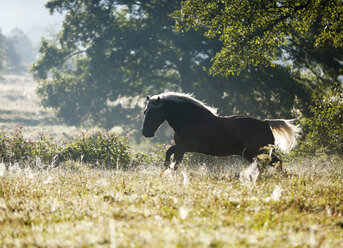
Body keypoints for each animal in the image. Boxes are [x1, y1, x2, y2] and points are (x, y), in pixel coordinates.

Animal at [141, 92, 300, 170]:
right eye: (144, 112)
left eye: (153, 113)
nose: (145, 133)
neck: (191, 120)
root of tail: (266, 123)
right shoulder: (182, 149)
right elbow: (175, 161)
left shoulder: (186, 146)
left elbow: (169, 152)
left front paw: (165, 168)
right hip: (251, 154)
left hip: (258, 152)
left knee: (277, 163)